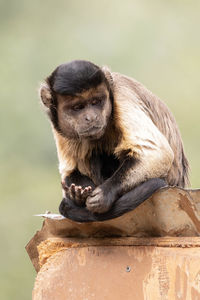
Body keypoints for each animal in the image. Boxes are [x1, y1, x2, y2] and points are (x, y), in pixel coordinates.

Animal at [39, 59, 189, 221]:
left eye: (96, 101)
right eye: (78, 107)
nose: (91, 117)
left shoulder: (121, 96)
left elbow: (157, 153)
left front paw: (105, 193)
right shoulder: (58, 125)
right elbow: (68, 171)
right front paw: (78, 193)